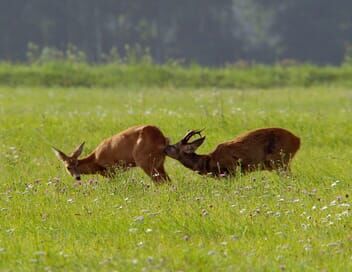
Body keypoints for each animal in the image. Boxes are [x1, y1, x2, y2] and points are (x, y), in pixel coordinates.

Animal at [165, 127, 300, 176]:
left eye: (174, 147)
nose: (165, 148)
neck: (209, 161)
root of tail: (298, 140)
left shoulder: (232, 169)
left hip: (280, 160)